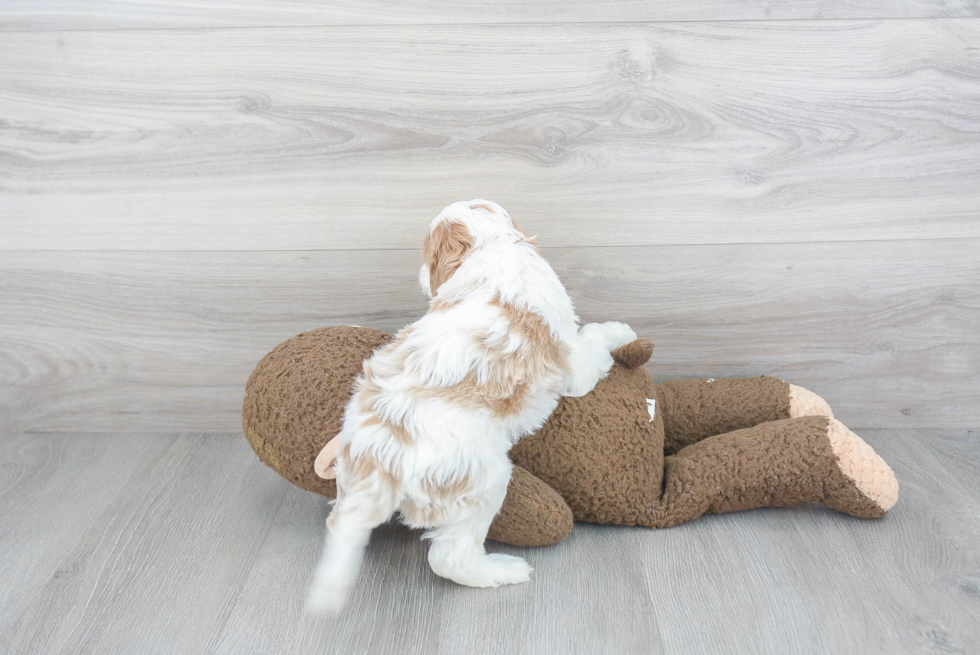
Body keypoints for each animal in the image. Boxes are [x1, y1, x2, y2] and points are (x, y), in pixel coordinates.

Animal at [306, 201, 636, 616]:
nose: (420, 274)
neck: (492, 246)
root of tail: (379, 456)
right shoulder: (574, 365)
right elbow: (594, 337)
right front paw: (623, 331)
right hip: (482, 481)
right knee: (449, 558)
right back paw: (501, 571)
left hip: (349, 474)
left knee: (337, 522)